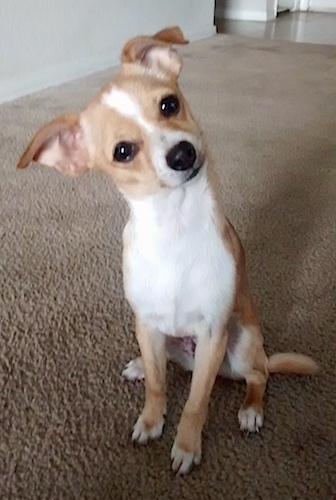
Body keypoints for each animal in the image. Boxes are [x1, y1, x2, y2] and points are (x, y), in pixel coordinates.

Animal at [17, 26, 318, 472]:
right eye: (123, 151)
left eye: (169, 104)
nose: (182, 153)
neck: (175, 227)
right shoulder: (146, 323)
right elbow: (159, 388)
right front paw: (151, 421)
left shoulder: (211, 334)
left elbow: (196, 401)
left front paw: (187, 447)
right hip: (165, 339)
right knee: (168, 365)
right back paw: (141, 365)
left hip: (241, 345)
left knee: (259, 376)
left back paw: (251, 410)